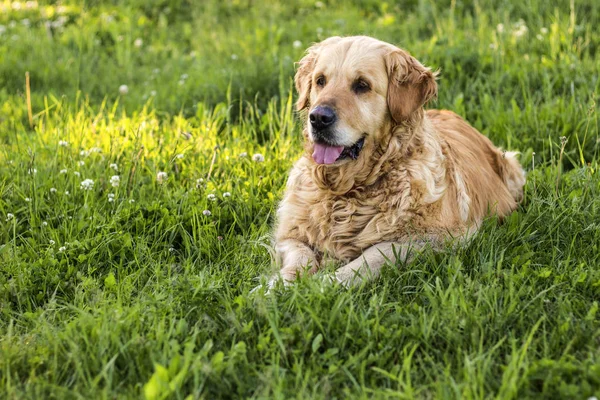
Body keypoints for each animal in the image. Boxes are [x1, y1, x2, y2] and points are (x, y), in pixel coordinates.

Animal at [264, 36, 524, 290]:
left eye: (362, 85)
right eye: (320, 81)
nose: (318, 118)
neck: (346, 190)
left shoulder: (440, 237)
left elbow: (371, 257)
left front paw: (321, 285)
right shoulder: (290, 234)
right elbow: (299, 257)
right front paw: (277, 288)